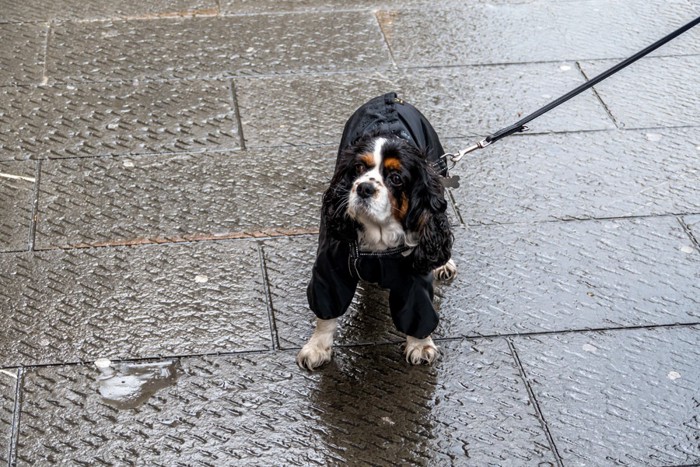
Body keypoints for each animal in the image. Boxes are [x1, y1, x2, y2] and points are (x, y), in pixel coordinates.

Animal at [294, 93, 454, 372]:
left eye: (396, 178)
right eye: (358, 168)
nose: (364, 188)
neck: (379, 233)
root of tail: (390, 97)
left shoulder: (414, 278)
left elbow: (418, 312)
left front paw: (420, 345)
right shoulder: (331, 267)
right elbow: (327, 309)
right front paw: (317, 347)